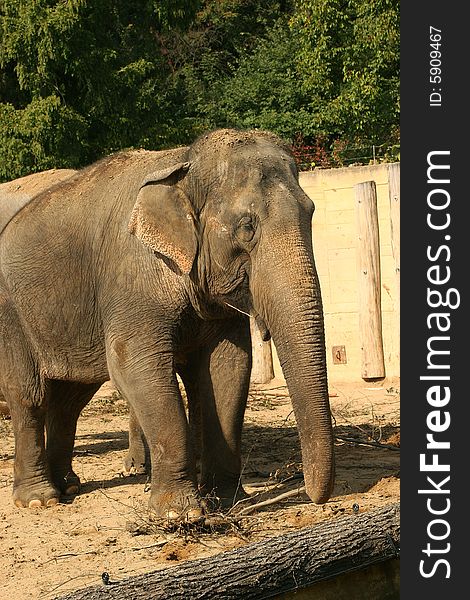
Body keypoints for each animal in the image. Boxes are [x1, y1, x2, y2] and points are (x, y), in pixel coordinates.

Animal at [0, 127, 338, 520]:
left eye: (310, 213)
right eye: (247, 227)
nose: (314, 496)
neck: (184, 163)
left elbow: (228, 368)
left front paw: (227, 501)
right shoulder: (133, 279)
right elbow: (134, 365)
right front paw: (181, 513)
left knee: (71, 398)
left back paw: (68, 486)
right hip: (12, 314)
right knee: (30, 395)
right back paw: (39, 499)